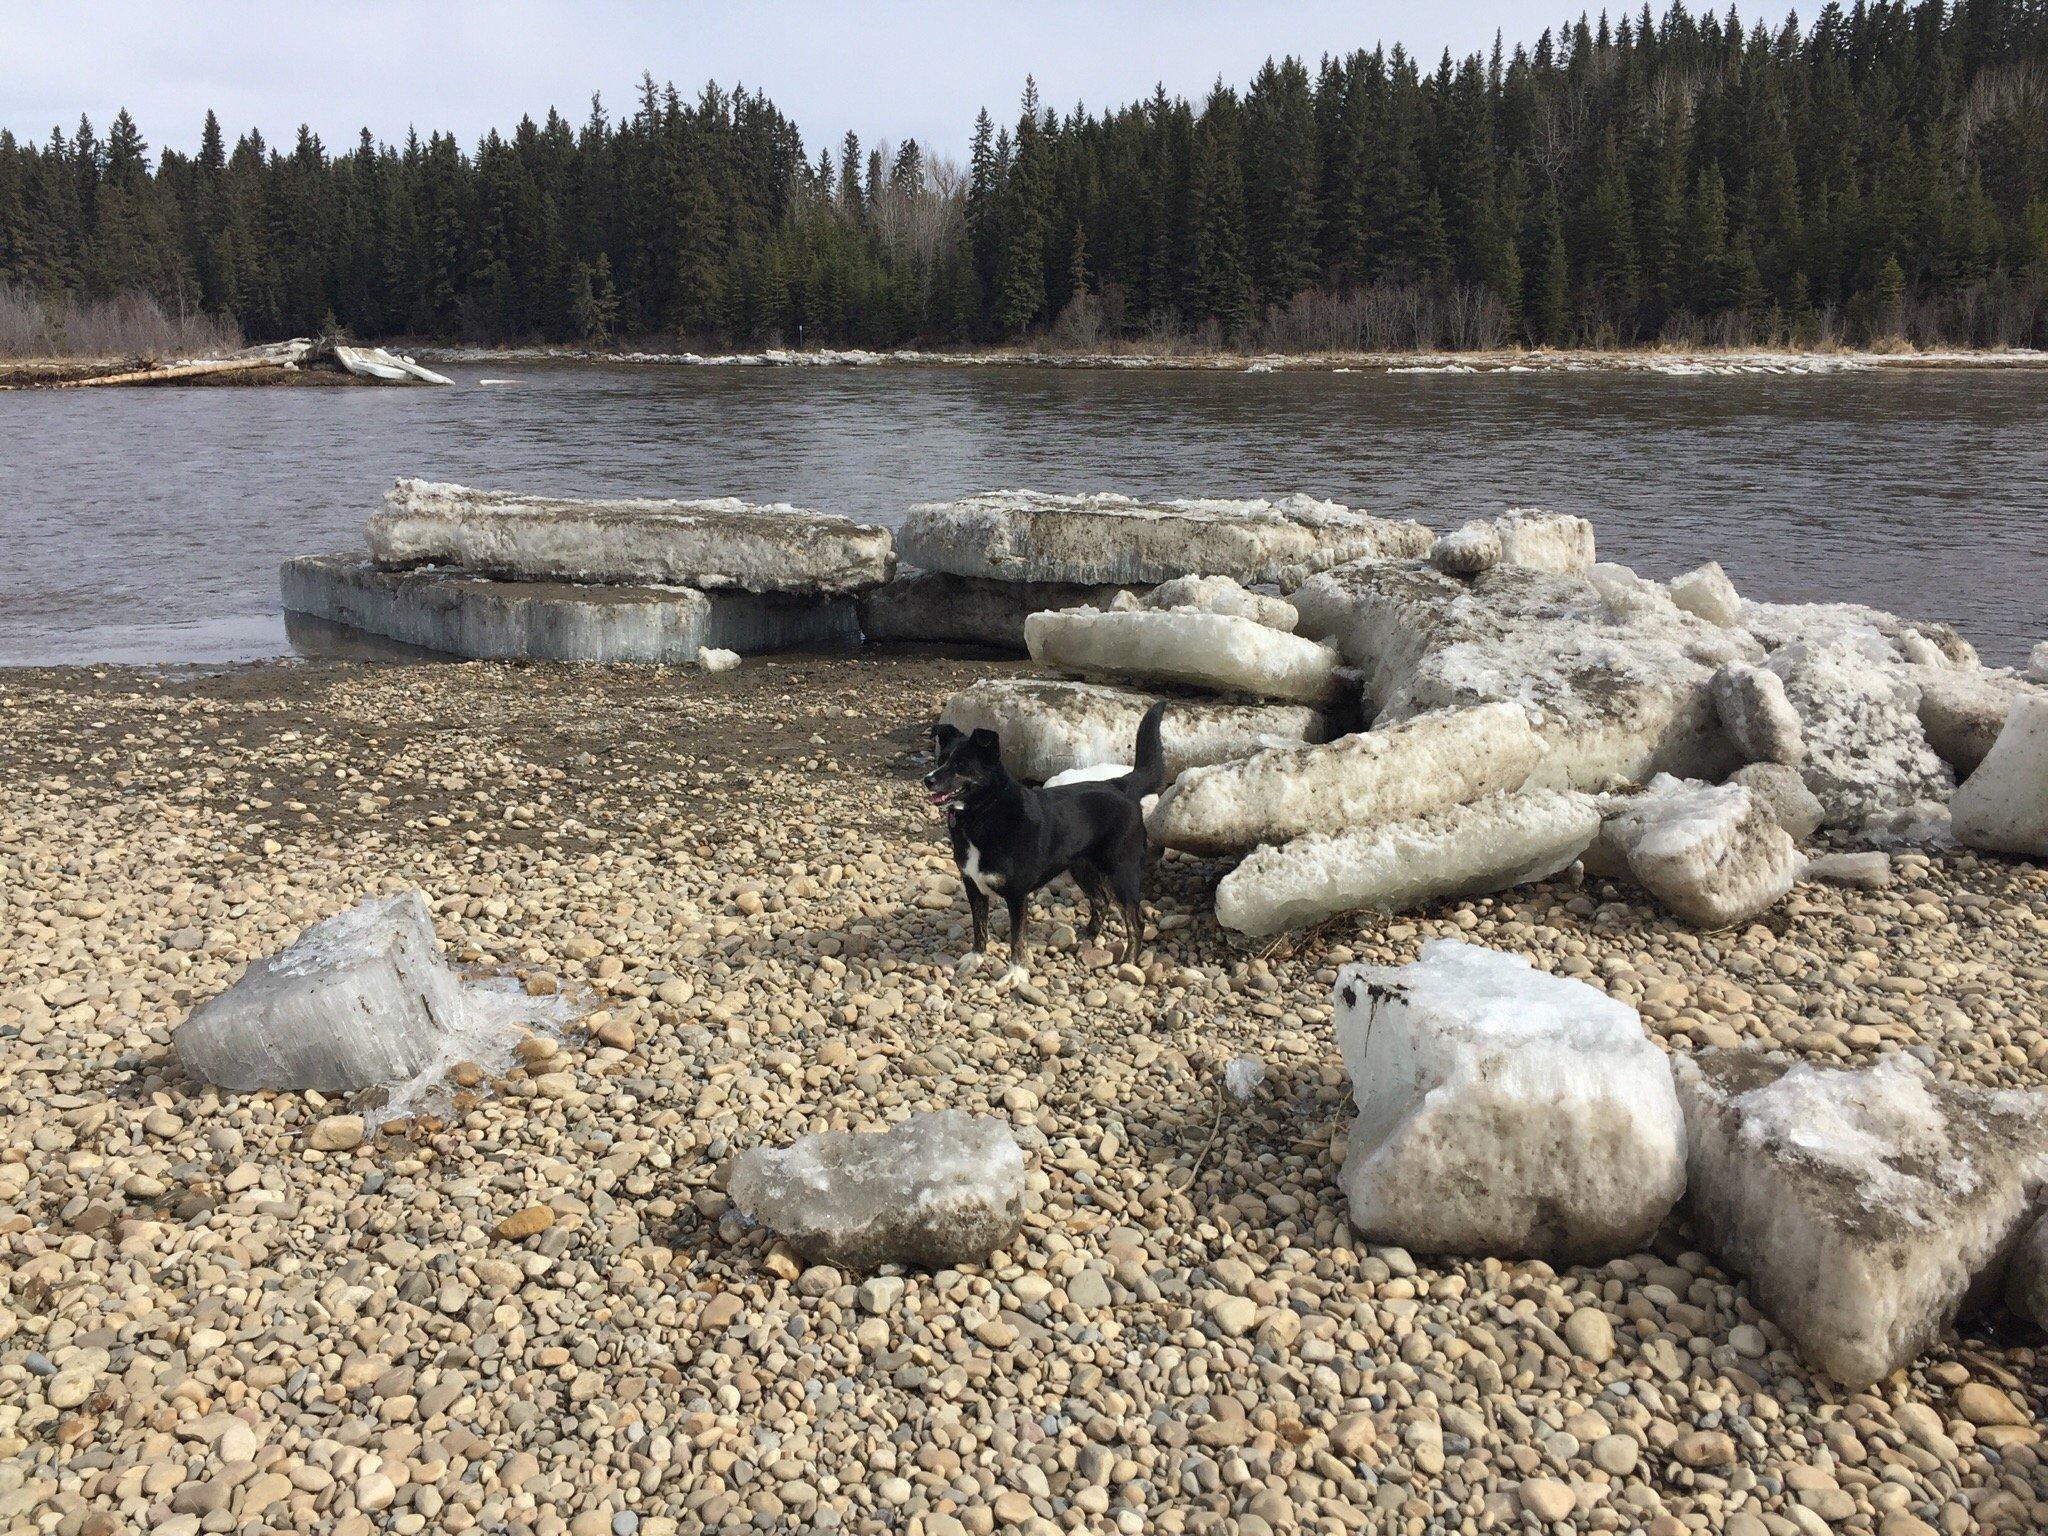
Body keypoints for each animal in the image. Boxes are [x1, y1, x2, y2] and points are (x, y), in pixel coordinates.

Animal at [929, 704, 1171, 966]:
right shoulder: (973, 886)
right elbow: (979, 927)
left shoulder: (1016, 894)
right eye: (941, 760)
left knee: (1135, 922)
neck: (983, 812)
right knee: (1101, 900)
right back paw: (1089, 935)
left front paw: (1016, 970)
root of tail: (1120, 785)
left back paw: (1127, 962)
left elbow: (1017, 940)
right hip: (1082, 867)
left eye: (961, 765)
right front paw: (976, 958)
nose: (927, 779)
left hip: (1121, 874)